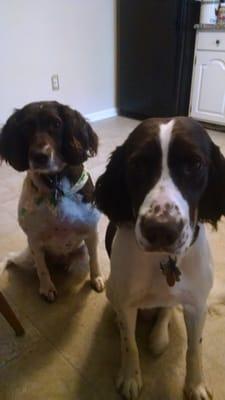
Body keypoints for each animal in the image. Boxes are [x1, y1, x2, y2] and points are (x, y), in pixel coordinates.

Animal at [0, 101, 104, 302]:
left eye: (56, 124)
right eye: (26, 127)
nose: (39, 156)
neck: (54, 183)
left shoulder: (91, 232)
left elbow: (95, 259)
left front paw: (96, 278)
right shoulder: (34, 239)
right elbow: (42, 269)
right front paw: (47, 288)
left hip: (80, 251)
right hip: (29, 254)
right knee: (16, 259)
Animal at [94, 117, 225, 398]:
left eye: (194, 164)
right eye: (137, 164)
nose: (161, 229)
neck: (163, 259)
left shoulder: (197, 305)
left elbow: (195, 349)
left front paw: (195, 385)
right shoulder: (127, 303)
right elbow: (129, 343)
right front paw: (130, 377)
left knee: (165, 310)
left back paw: (159, 336)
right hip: (112, 288)